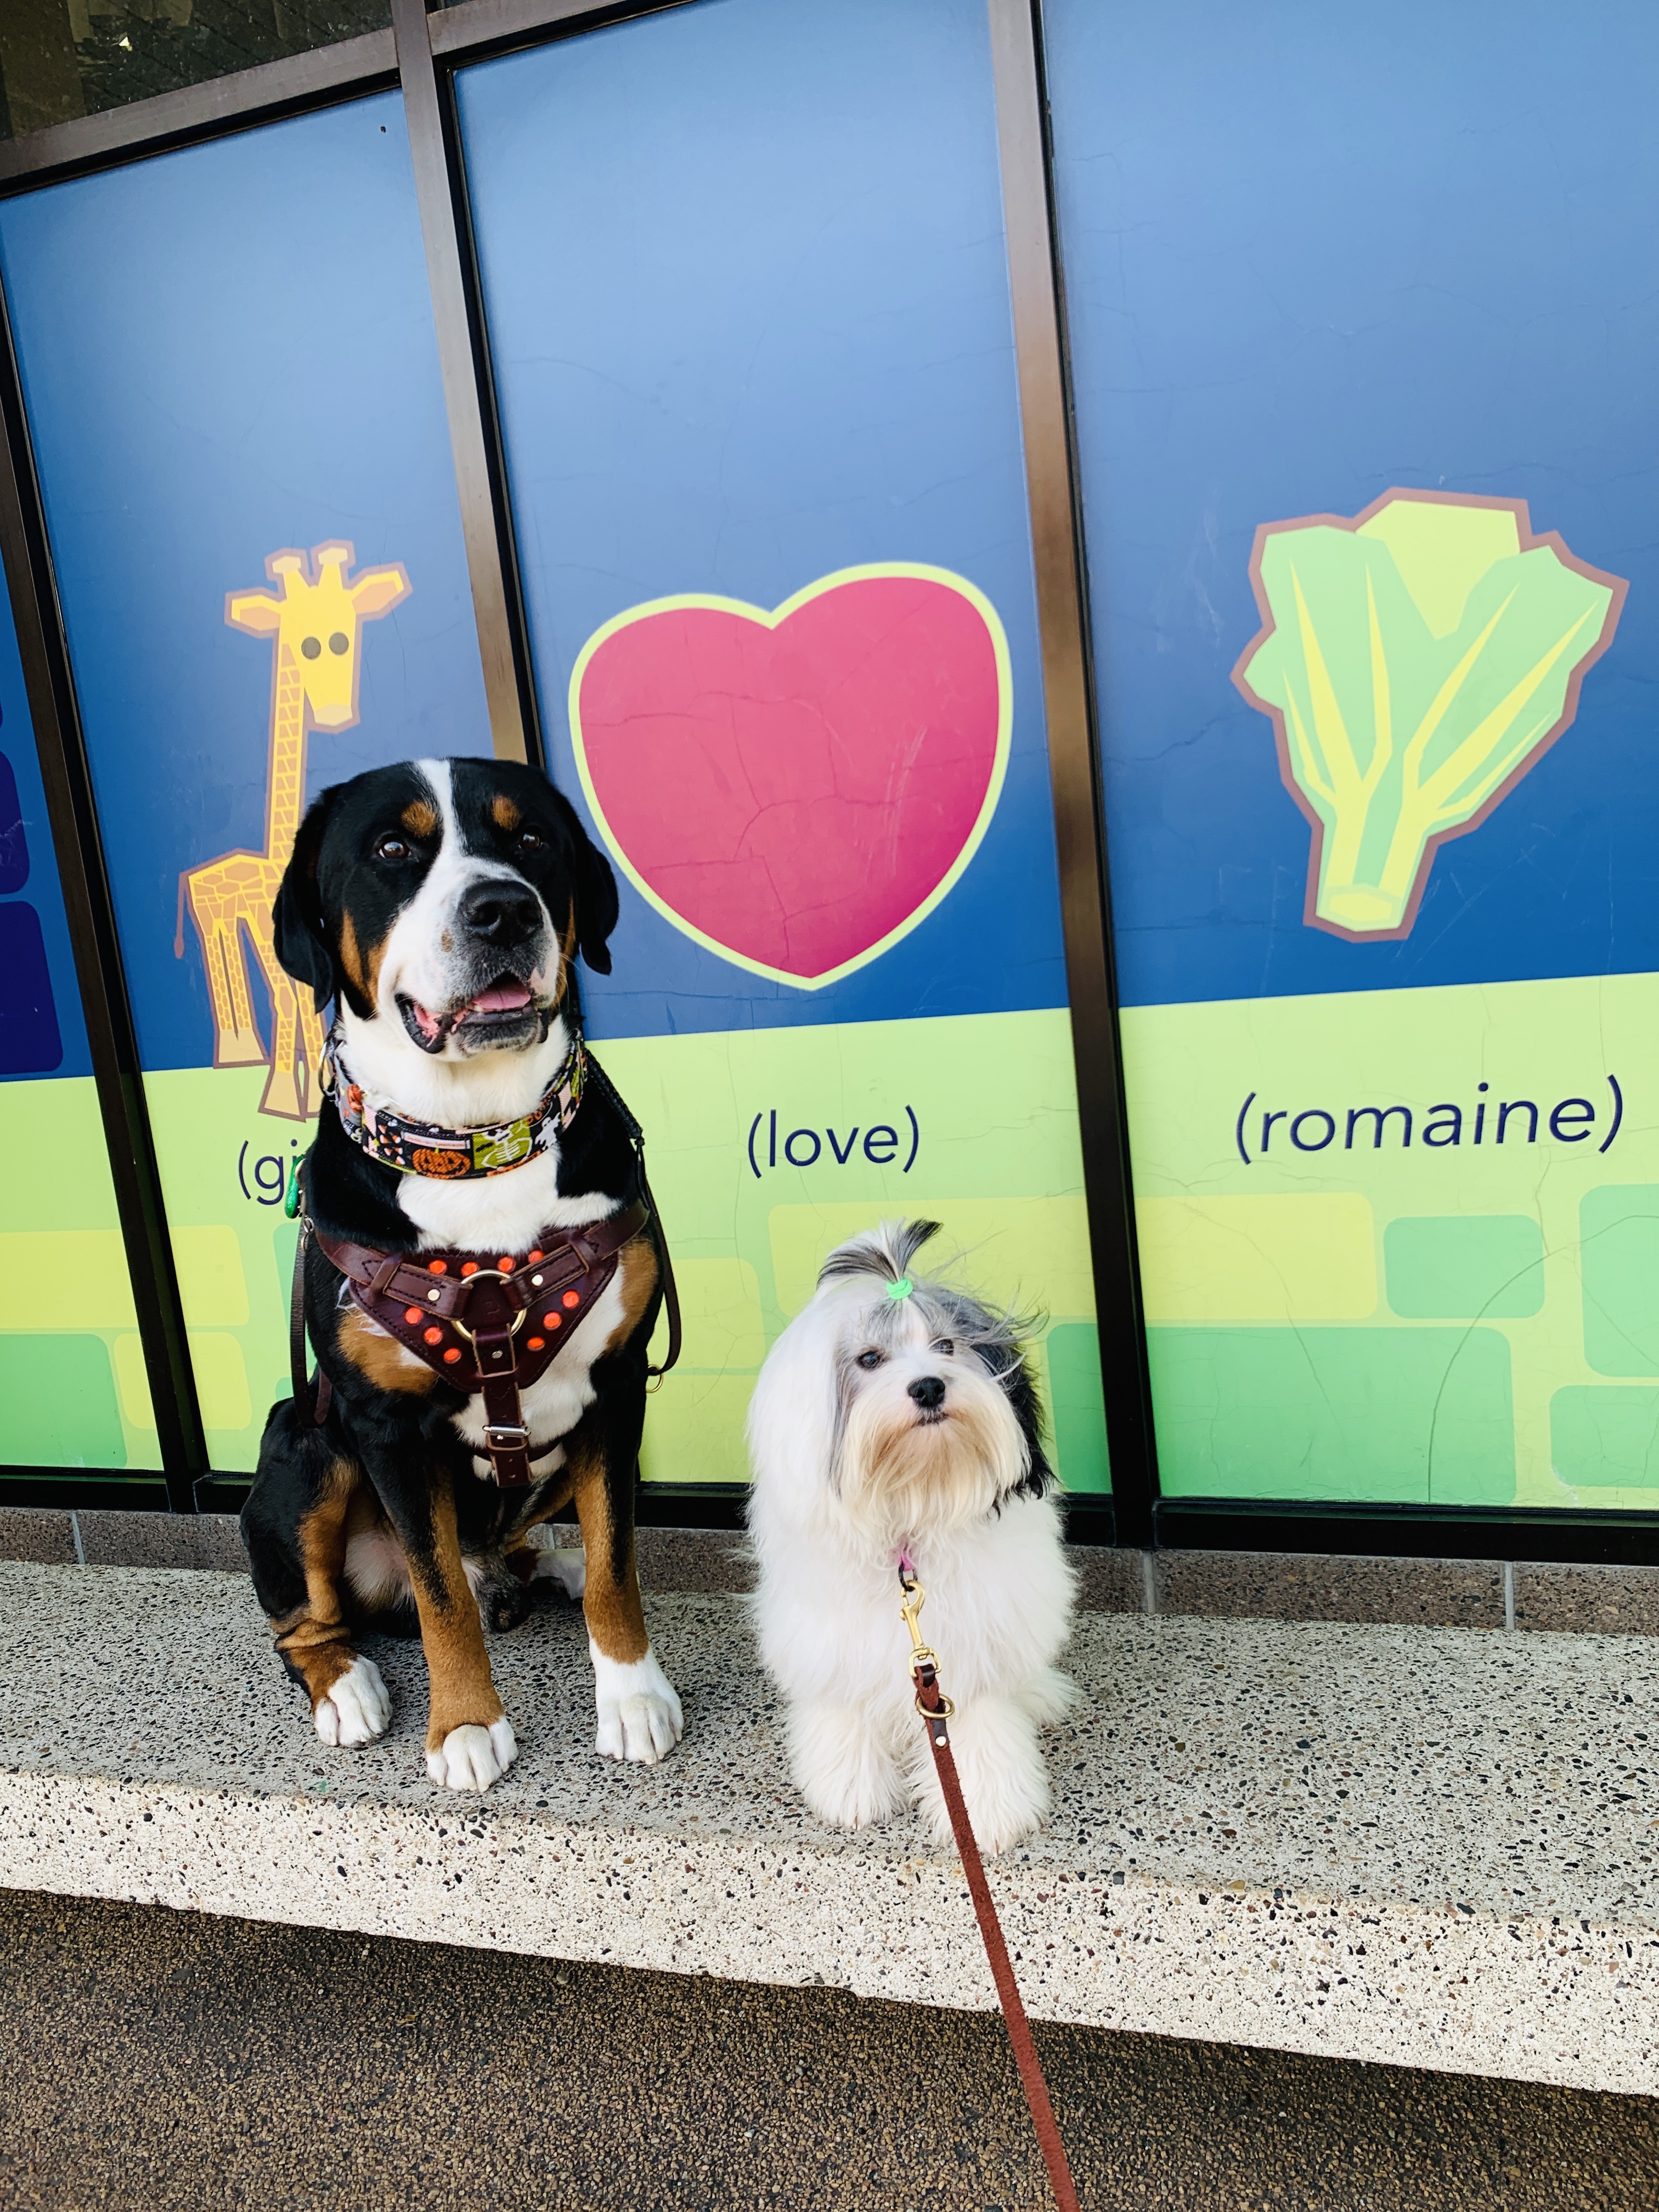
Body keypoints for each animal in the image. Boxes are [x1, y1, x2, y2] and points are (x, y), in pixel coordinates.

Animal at [239, 752, 681, 1787]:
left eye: (532, 840)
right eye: (392, 851)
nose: (503, 909)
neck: (479, 1143)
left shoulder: (617, 1386)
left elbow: (617, 1560)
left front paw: (632, 1696)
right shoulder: (384, 1424)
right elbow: (439, 1596)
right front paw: (467, 1726)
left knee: (533, 1553)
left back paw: (546, 1565)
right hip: (304, 1438)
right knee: (311, 1619)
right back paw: (348, 1686)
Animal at [752, 1221, 1079, 1858]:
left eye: (948, 1346)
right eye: (869, 1359)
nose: (928, 1386)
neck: (914, 1502)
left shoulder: (972, 1640)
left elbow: (978, 1726)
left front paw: (985, 1812)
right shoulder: (833, 1639)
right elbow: (844, 1708)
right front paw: (850, 1789)